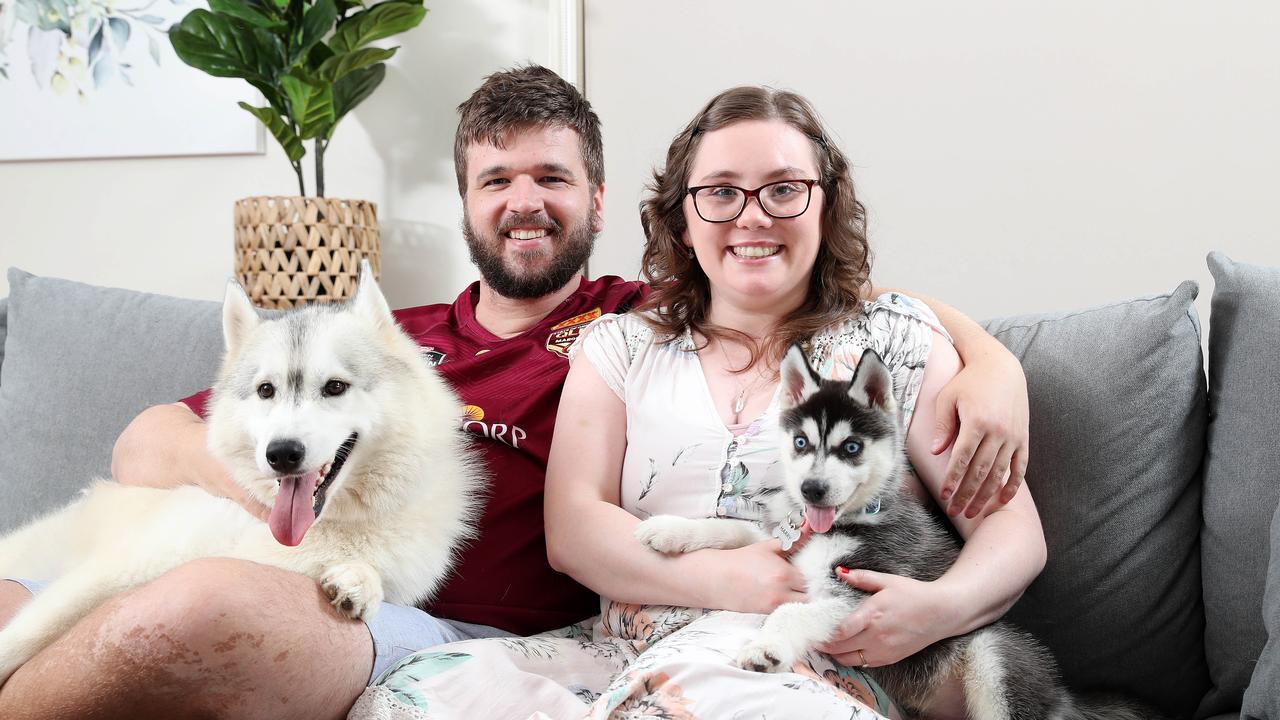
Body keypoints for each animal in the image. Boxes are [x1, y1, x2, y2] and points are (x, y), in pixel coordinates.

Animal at [0, 265, 481, 681]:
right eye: (266, 390)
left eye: (335, 387)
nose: (281, 454)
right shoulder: (115, 570)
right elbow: (23, 637)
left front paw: (359, 581)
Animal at [634, 343, 1157, 717]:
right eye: (801, 442)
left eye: (850, 448)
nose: (811, 489)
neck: (847, 519)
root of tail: (1063, 699)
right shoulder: (782, 538)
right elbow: (735, 531)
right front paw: (668, 530)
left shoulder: (863, 592)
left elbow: (793, 611)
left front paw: (767, 645)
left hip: (993, 655)